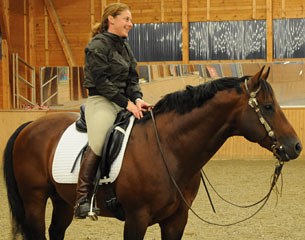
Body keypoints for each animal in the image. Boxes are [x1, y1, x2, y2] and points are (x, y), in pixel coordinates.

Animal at [2, 66, 300, 239]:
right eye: (268, 107)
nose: (295, 146)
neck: (167, 149)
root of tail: (31, 125)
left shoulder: (176, 220)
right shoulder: (137, 219)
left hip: (63, 201)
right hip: (34, 200)